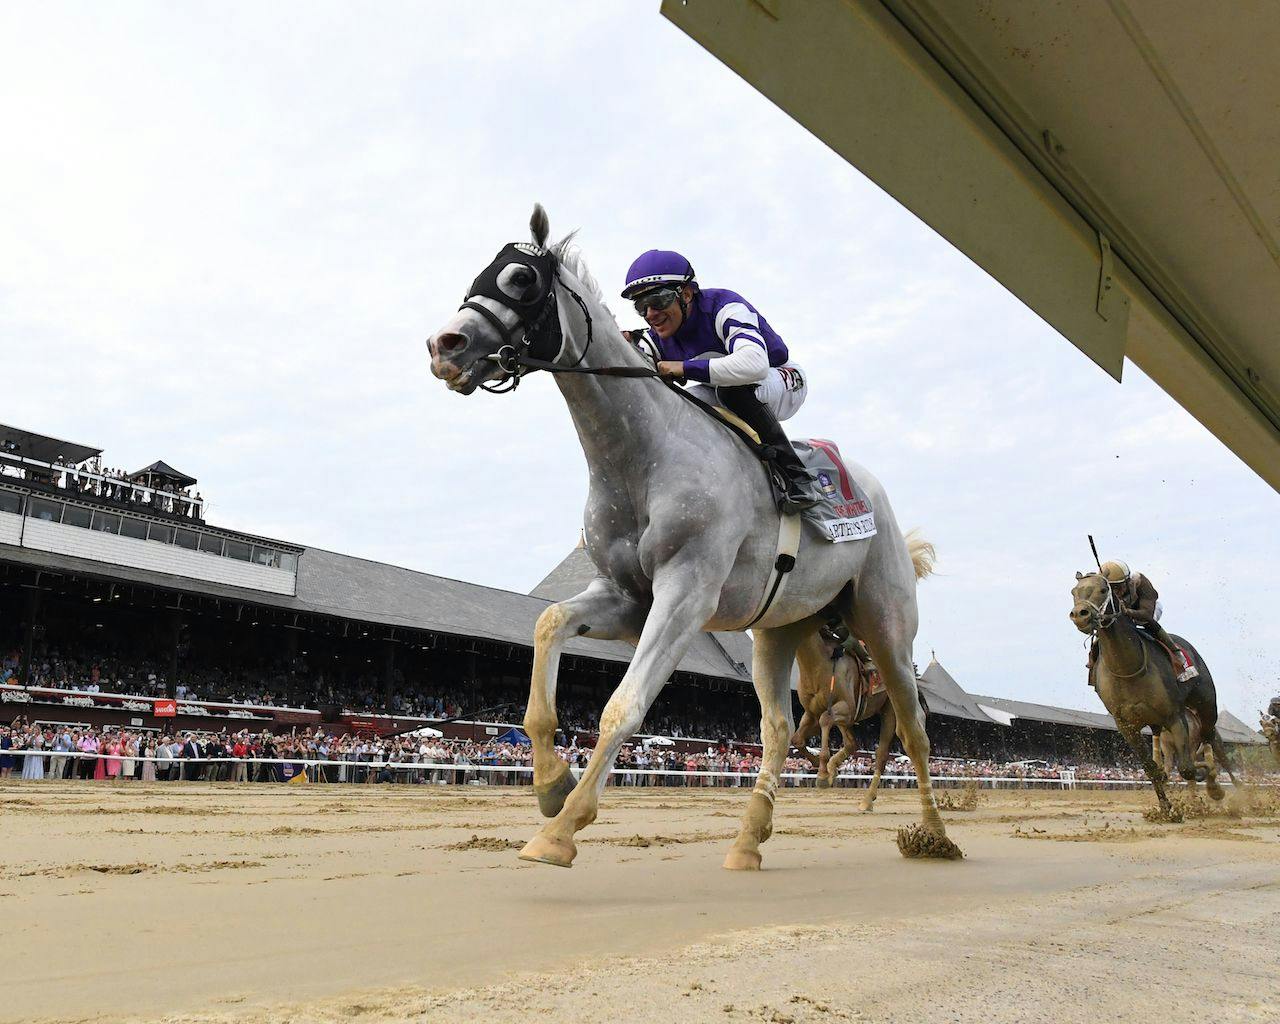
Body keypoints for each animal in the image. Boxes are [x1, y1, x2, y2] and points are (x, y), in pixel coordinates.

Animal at [424, 207, 957, 870]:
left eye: (521, 279)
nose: (444, 346)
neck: (644, 457)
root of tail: (881, 505)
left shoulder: (685, 595)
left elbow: (623, 706)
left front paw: (563, 828)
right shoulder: (628, 596)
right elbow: (548, 625)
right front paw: (550, 783)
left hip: (885, 623)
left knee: (912, 730)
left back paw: (932, 834)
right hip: (780, 628)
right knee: (779, 730)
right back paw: (748, 840)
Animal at [1070, 568, 1239, 814]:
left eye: (1102, 590)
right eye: (1074, 592)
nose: (1079, 614)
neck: (1128, 668)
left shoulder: (1175, 717)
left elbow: (1188, 768)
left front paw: (1208, 783)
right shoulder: (1127, 726)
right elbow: (1153, 768)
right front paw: (1166, 808)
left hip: (1206, 705)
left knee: (1213, 744)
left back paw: (1230, 788)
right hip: (1159, 725)